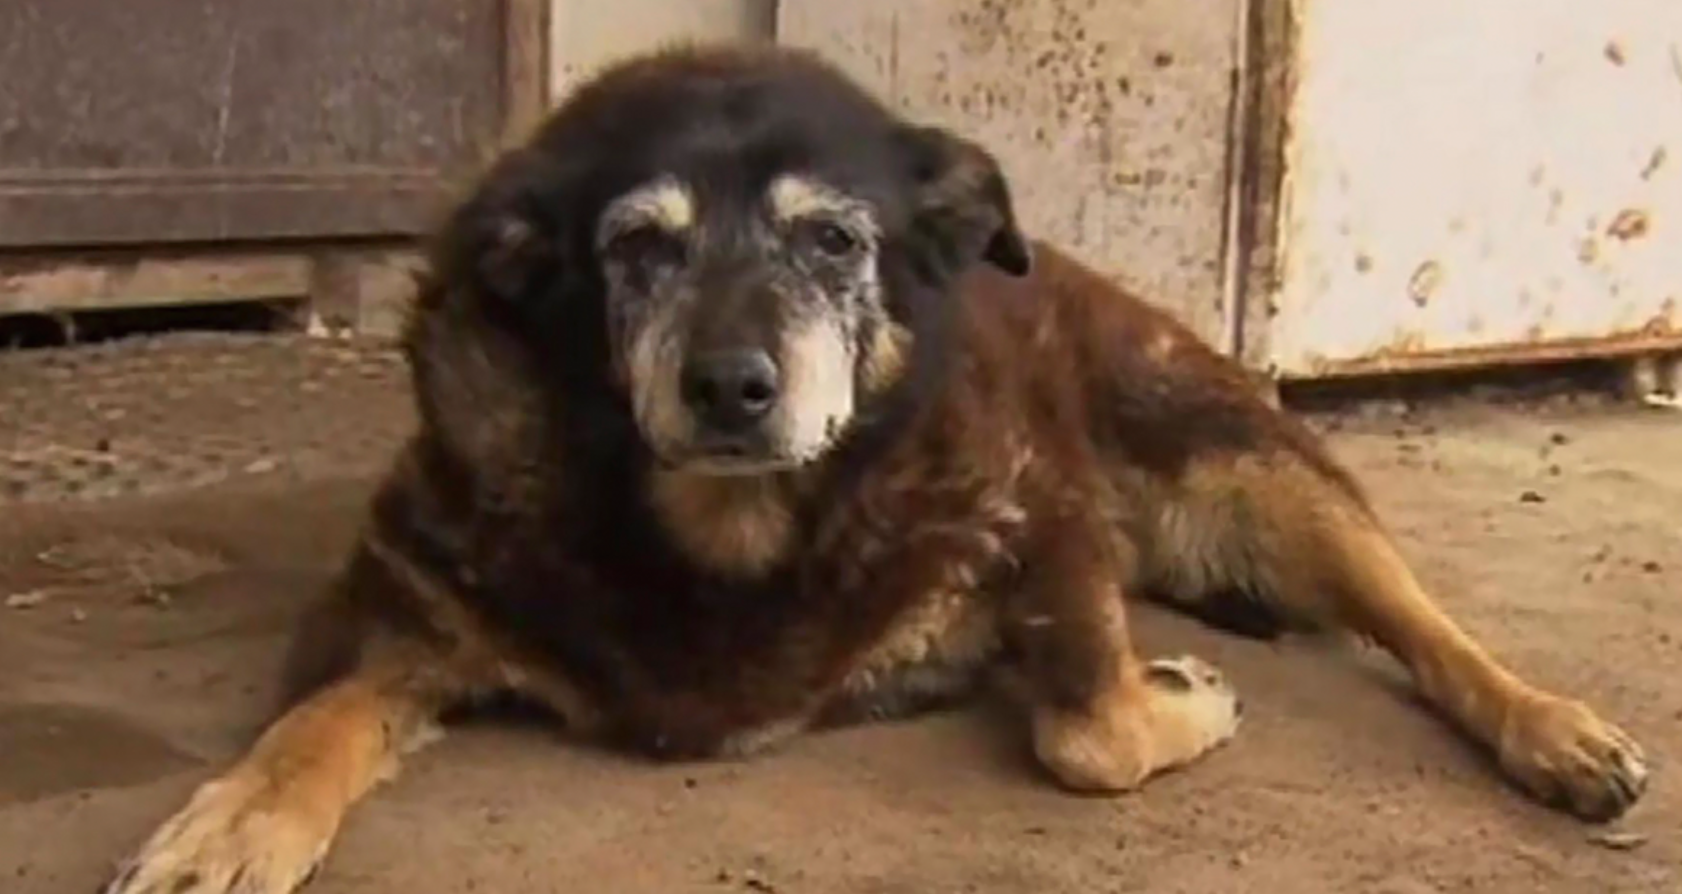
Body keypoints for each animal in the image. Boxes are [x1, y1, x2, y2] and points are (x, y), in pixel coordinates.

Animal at [111, 43, 1648, 894]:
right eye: (636, 246)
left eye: (832, 240)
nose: (730, 386)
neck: (734, 537)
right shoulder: (405, 611)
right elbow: (309, 729)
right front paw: (225, 825)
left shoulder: (1041, 506)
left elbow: (1088, 729)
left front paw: (1176, 694)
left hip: (1252, 467)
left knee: (1423, 623)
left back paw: (1556, 732)